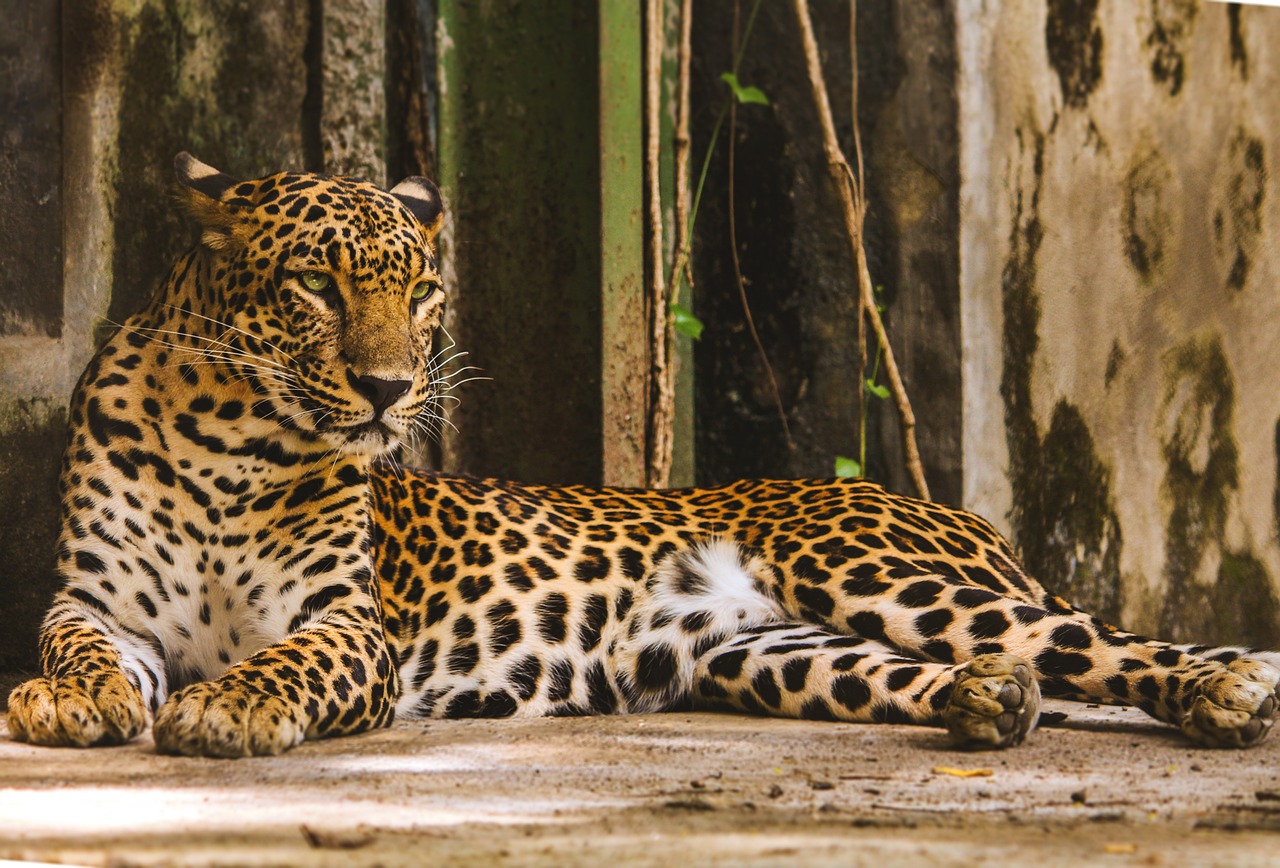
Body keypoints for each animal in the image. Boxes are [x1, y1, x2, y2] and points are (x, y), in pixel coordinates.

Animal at [5, 152, 1274, 757]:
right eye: (315, 282)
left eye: (420, 294)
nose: (388, 388)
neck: (230, 443)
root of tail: (967, 518)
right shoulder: (96, 601)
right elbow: (78, 648)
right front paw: (66, 700)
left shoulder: (348, 624)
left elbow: (284, 664)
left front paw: (226, 707)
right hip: (770, 654)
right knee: (981, 672)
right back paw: (988, 701)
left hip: (879, 575)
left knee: (1111, 644)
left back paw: (1224, 690)